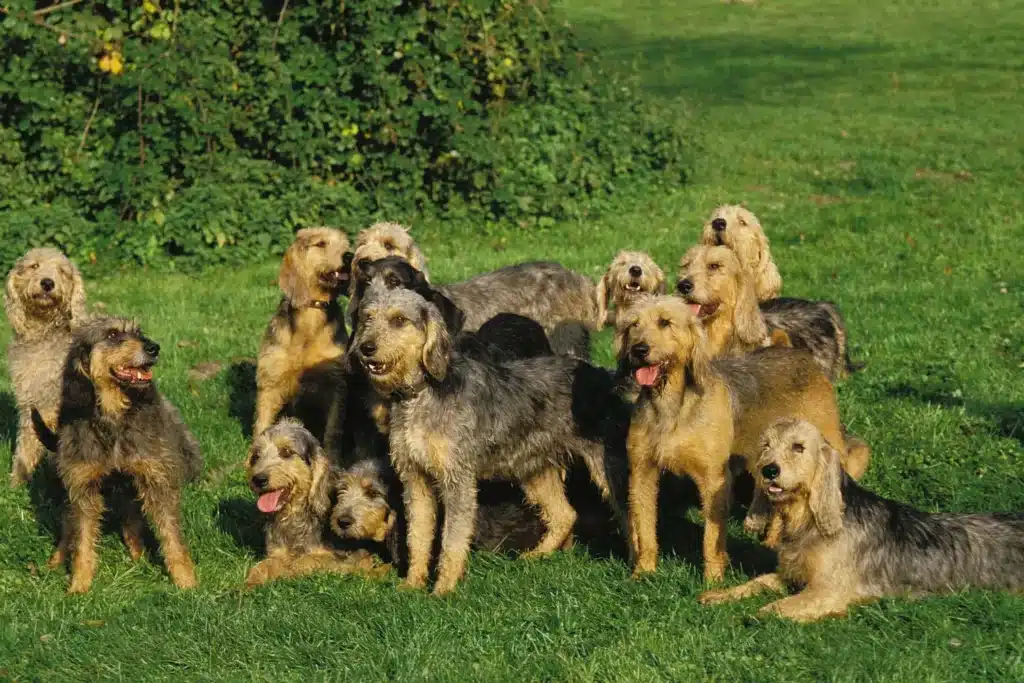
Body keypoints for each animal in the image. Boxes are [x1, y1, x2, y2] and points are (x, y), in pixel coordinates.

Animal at [39, 317, 200, 589]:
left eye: (138, 332)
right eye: (113, 335)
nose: (154, 348)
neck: (113, 419)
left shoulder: (155, 480)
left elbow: (172, 536)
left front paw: (186, 581)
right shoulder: (83, 488)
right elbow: (82, 540)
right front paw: (79, 585)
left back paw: (138, 557)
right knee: (69, 527)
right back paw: (56, 559)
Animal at [245, 419, 389, 589]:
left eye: (286, 452)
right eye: (256, 456)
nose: (258, 479)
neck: (295, 515)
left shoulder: (341, 557)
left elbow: (306, 560)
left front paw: (286, 572)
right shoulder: (278, 552)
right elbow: (263, 565)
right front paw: (248, 583)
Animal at [254, 227, 352, 456]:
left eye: (346, 243)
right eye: (321, 243)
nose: (349, 256)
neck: (312, 314)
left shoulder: (336, 385)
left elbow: (332, 433)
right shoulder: (270, 382)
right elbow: (262, 425)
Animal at [614, 296, 872, 581]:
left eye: (665, 322)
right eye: (633, 325)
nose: (639, 349)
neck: (671, 406)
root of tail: (795, 353)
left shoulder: (714, 480)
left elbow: (711, 537)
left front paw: (713, 579)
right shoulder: (641, 473)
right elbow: (645, 529)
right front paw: (643, 572)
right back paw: (772, 540)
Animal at [700, 419, 1024, 622]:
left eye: (798, 447)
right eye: (766, 445)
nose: (769, 470)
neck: (809, 523)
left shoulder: (827, 590)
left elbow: (780, 607)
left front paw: (756, 615)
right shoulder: (790, 574)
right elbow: (759, 582)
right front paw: (719, 595)